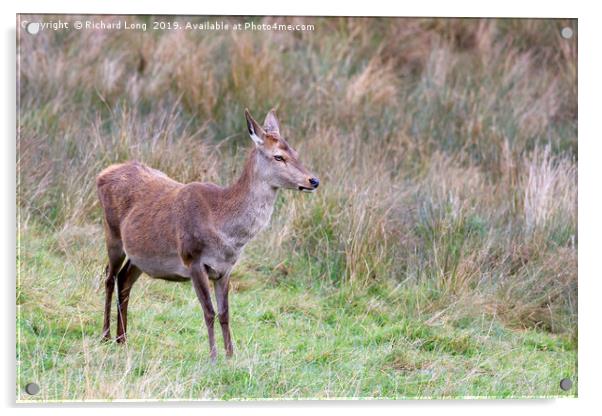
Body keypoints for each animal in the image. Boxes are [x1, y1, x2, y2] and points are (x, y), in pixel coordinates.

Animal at [95, 108, 318, 360]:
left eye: (295, 151)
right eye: (278, 156)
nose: (313, 180)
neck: (226, 232)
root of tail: (102, 173)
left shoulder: (225, 269)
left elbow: (225, 312)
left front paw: (230, 355)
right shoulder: (193, 259)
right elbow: (209, 311)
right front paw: (213, 356)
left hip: (140, 257)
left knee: (124, 280)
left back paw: (122, 339)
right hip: (112, 234)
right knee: (109, 276)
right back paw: (105, 335)